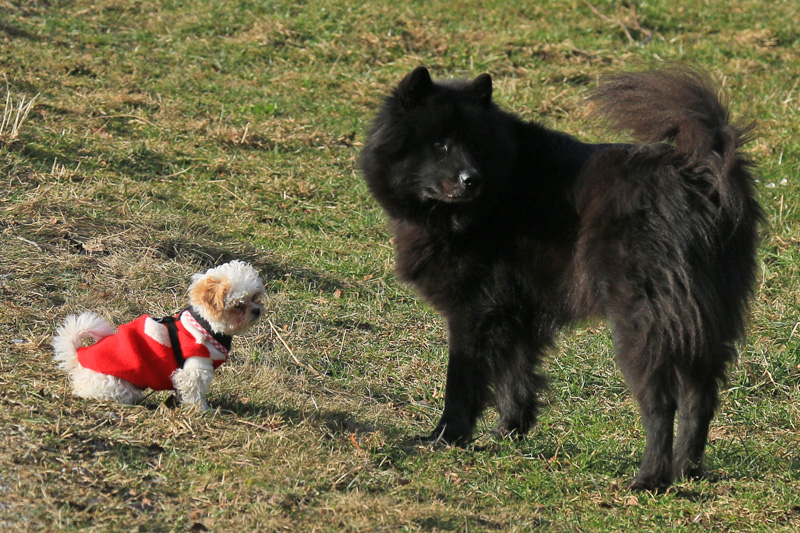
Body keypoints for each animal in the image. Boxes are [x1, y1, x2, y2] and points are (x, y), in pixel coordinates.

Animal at [52, 260, 266, 410]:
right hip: (118, 385)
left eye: (255, 297)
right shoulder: (194, 367)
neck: (204, 325)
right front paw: (202, 410)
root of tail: (78, 357)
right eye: (238, 305)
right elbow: (194, 392)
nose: (257, 311)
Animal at [362, 64, 764, 488]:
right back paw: (686, 471)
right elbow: (515, 375)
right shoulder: (513, 309)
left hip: (643, 318)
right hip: (706, 321)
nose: (471, 179)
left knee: (661, 402)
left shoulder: (473, 311)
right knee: (699, 398)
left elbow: (462, 382)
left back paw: (649, 479)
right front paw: (508, 431)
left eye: (474, 145)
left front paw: (445, 437)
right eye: (439, 144)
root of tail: (698, 173)